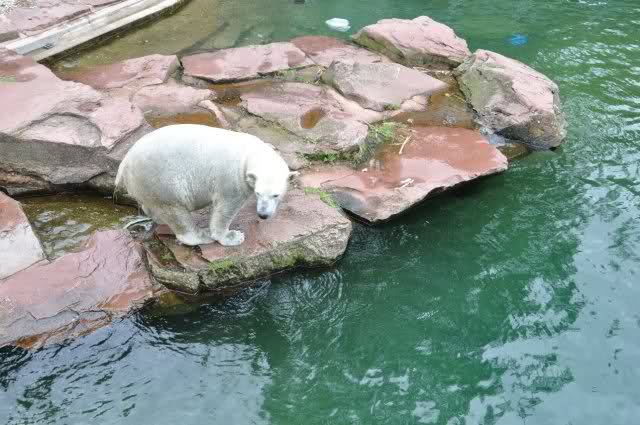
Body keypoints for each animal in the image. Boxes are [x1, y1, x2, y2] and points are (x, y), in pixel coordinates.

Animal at [115, 124, 294, 247]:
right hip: (160, 181)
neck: (250, 152)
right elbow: (225, 208)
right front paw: (232, 236)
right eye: (258, 193)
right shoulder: (231, 179)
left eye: (276, 195)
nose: (263, 215)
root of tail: (124, 164)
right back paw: (203, 235)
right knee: (175, 211)